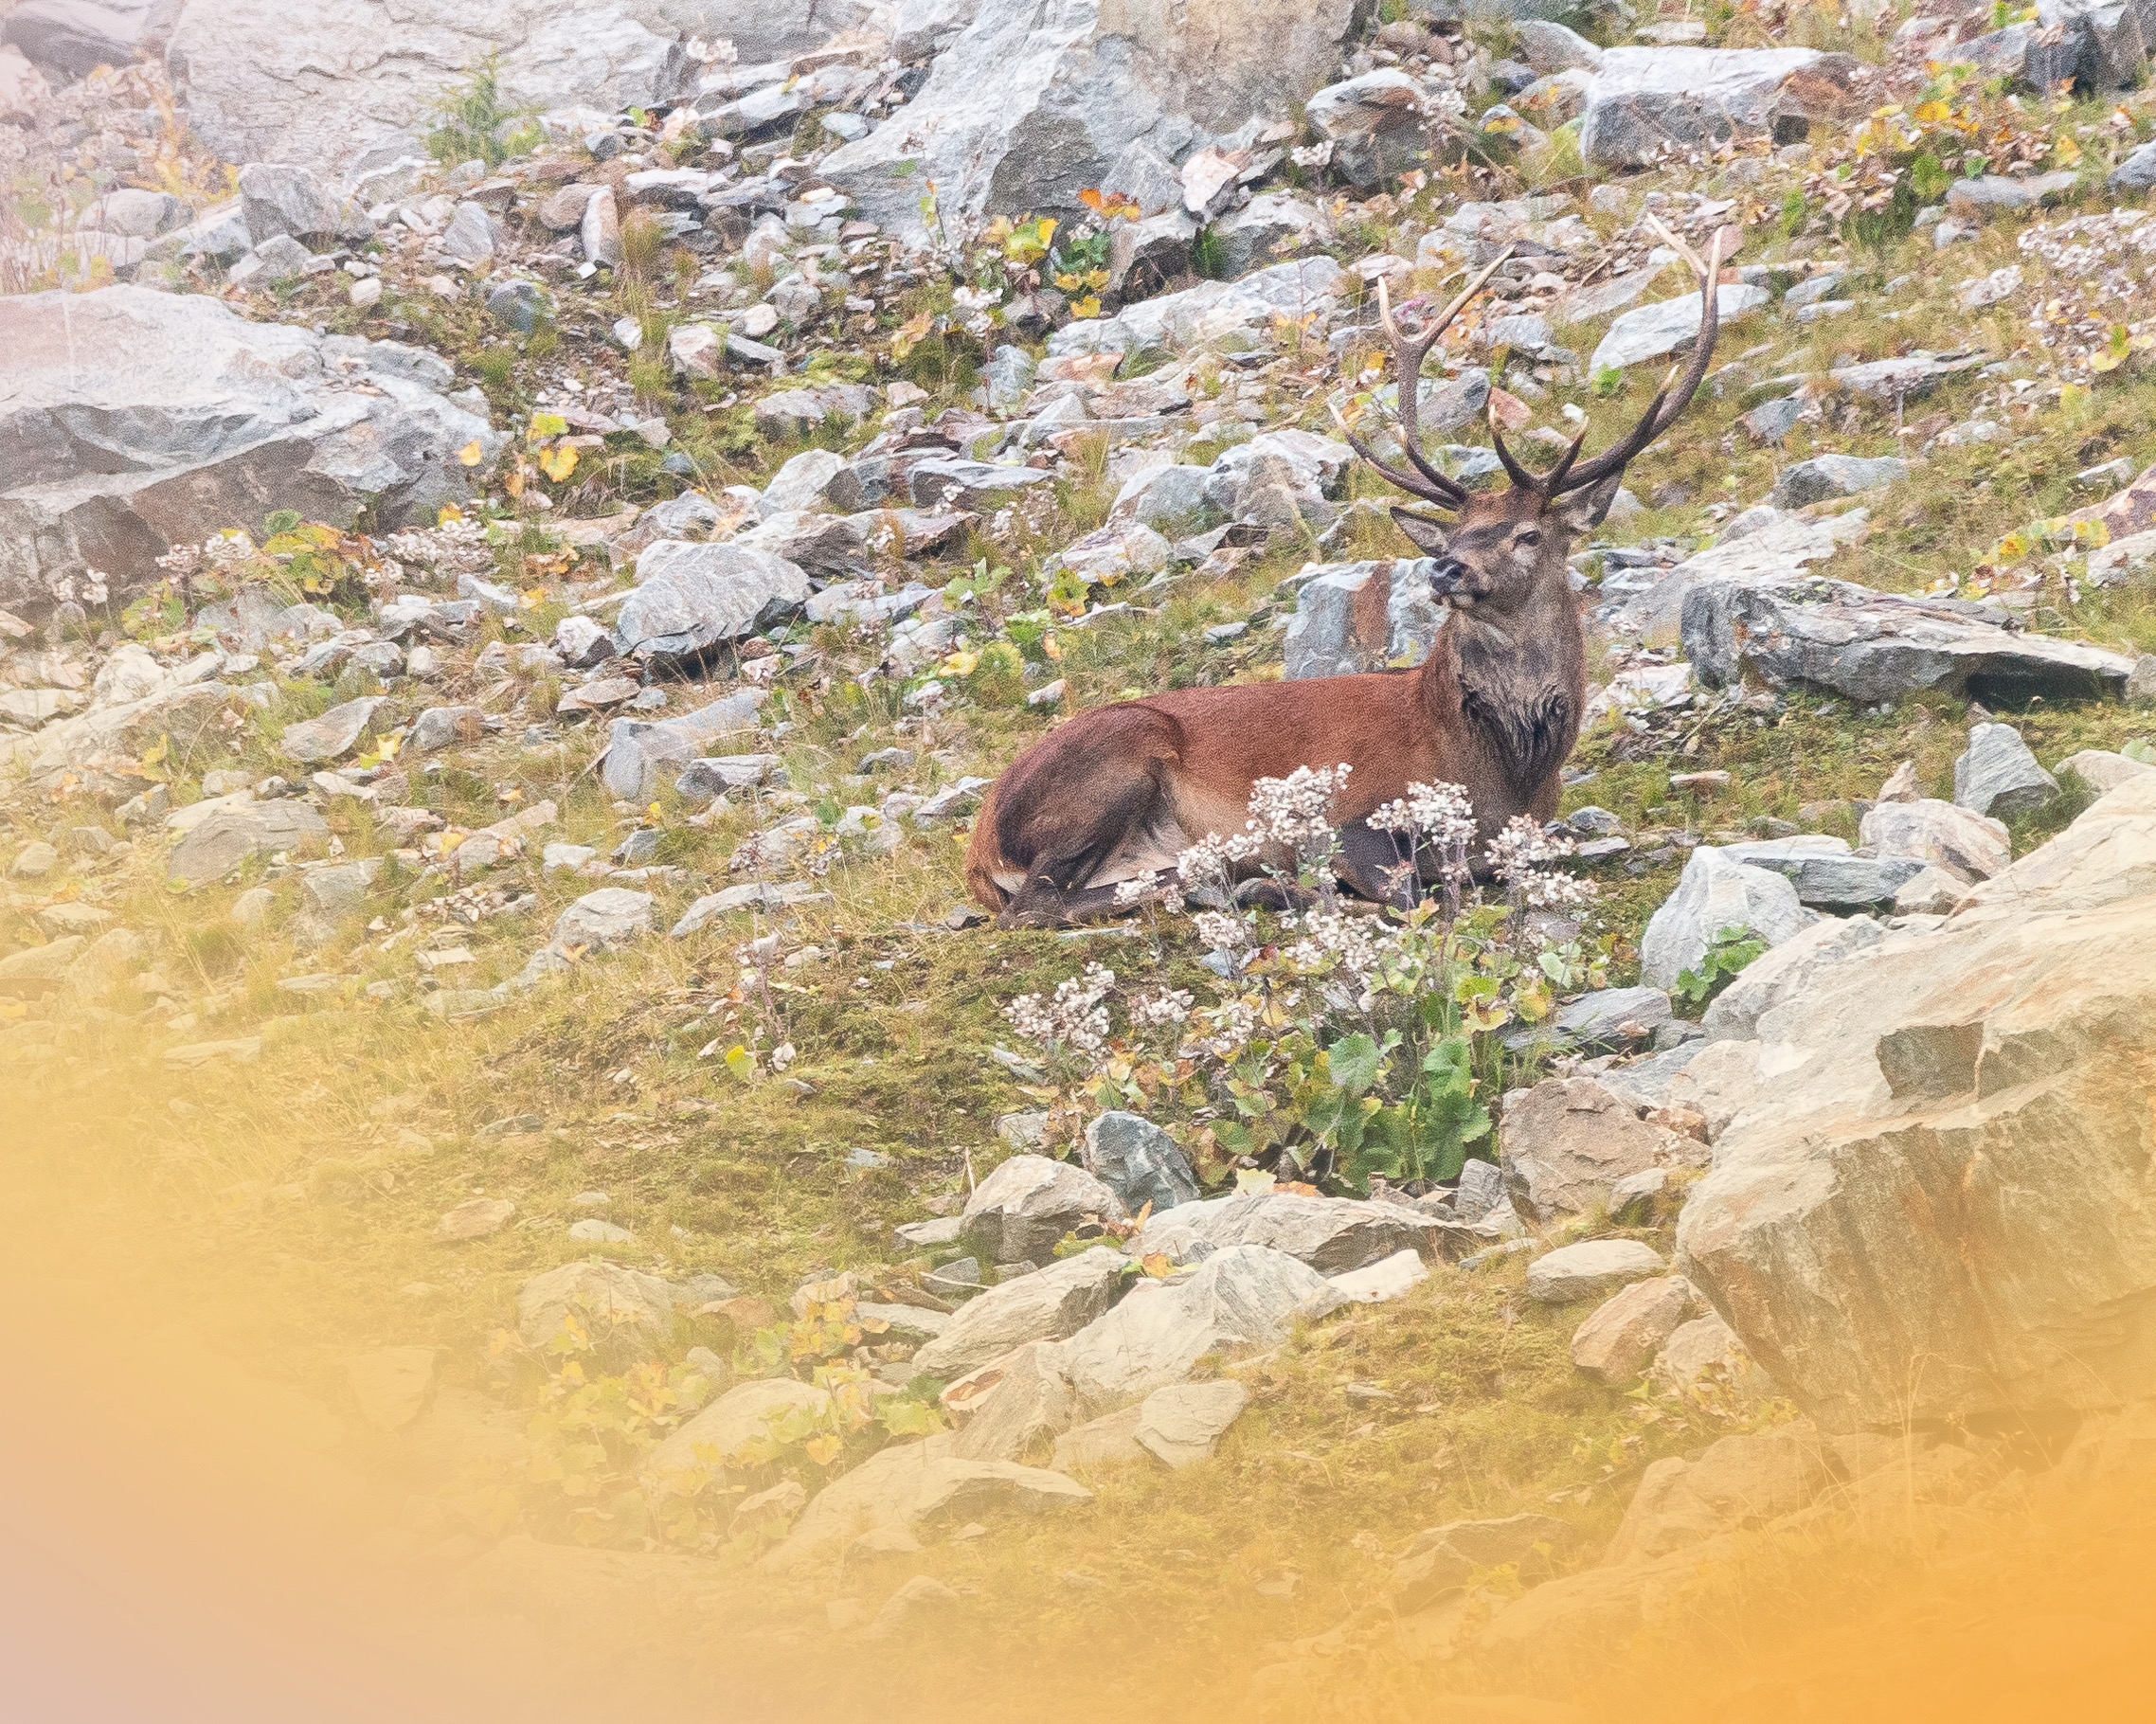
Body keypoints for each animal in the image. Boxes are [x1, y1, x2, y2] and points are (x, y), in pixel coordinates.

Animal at [964, 224, 1728, 927]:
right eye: (1456, 533)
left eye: (1529, 534)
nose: (1445, 566)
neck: (1503, 773)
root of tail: (978, 846)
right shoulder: (1353, 809)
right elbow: (1413, 892)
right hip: (1115, 761)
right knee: (1036, 905)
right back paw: (1253, 884)